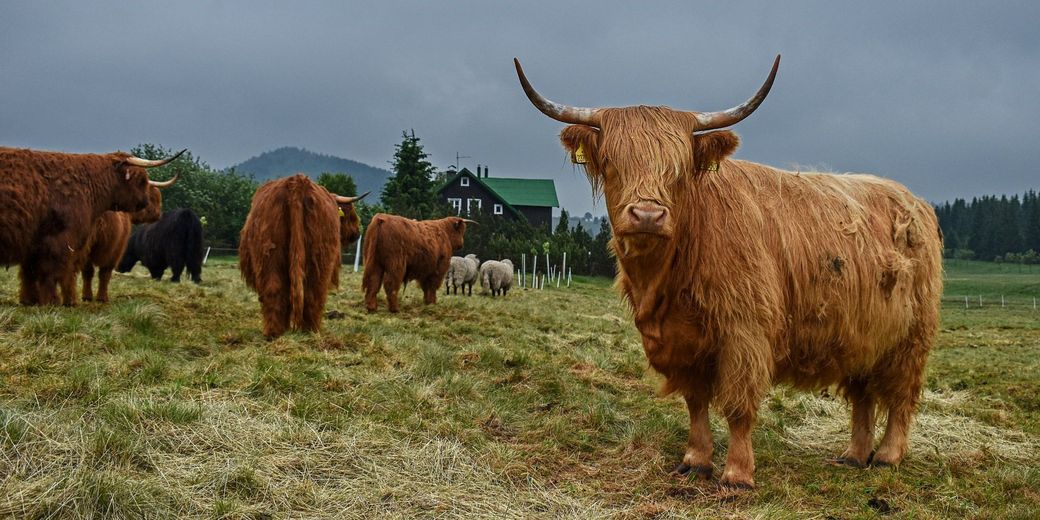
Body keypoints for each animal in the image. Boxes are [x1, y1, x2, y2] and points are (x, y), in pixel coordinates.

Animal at [0, 146, 185, 303]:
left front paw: (30, 300)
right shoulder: (62, 241)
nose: (150, 207)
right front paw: (53, 301)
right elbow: (54, 272)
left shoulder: (36, 244)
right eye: (141, 181)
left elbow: (31, 273)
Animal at [238, 172, 368, 339]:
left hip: (273, 256)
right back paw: (308, 330)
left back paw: (278, 332)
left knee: (278, 290)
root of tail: (298, 182)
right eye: (350, 214)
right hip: (318, 258)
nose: (357, 233)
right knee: (311, 293)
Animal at [517, 57, 944, 490]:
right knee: (863, 395)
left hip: (911, 339)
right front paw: (695, 460)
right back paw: (854, 456)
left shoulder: (745, 331)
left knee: (901, 395)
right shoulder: (684, 343)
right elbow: (696, 402)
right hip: (863, 335)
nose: (648, 215)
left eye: (679, 170)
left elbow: (739, 406)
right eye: (611, 165)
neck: (668, 278)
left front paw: (737, 474)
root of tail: (914, 200)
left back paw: (887, 456)